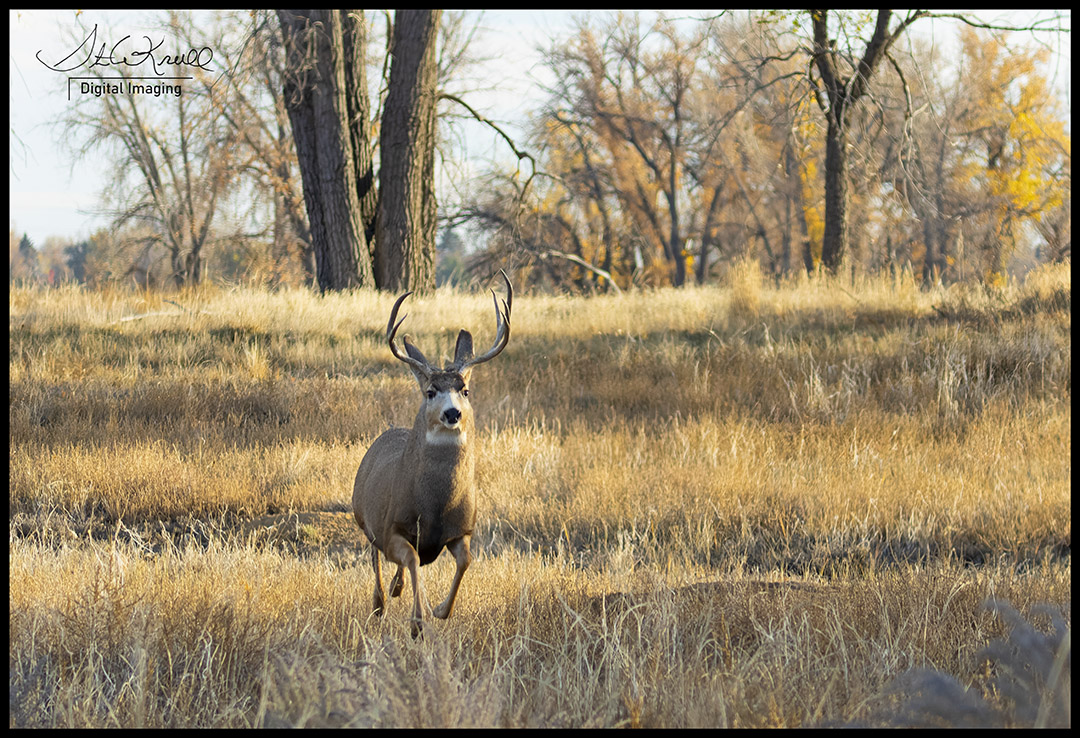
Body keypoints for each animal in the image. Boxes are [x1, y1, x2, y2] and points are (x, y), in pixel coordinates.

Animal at [352, 272, 512, 636]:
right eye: (430, 391)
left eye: (465, 390)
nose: (452, 413)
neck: (436, 503)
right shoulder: (393, 527)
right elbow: (410, 558)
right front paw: (418, 620)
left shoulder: (462, 530)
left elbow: (465, 560)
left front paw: (440, 610)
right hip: (363, 516)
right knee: (375, 554)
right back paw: (380, 603)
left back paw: (399, 591)